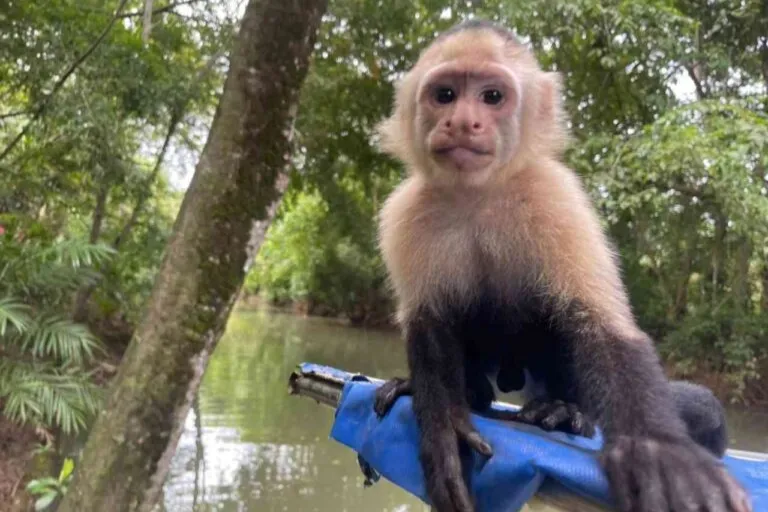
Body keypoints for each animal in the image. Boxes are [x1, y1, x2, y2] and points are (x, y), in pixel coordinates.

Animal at [371, 19, 750, 512]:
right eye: (446, 95)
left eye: (492, 97)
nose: (463, 122)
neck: (478, 195)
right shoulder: (406, 213)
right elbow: (429, 325)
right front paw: (445, 430)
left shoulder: (555, 195)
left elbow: (600, 323)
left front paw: (658, 449)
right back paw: (466, 393)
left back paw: (566, 411)